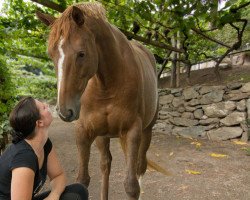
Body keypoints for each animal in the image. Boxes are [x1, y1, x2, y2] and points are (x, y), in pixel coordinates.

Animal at [36, 2, 158, 199]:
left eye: (81, 54)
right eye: (51, 55)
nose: (64, 111)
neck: (106, 86)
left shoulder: (133, 131)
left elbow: (131, 186)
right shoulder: (83, 131)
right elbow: (83, 179)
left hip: (146, 131)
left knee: (140, 167)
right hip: (103, 135)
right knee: (105, 165)